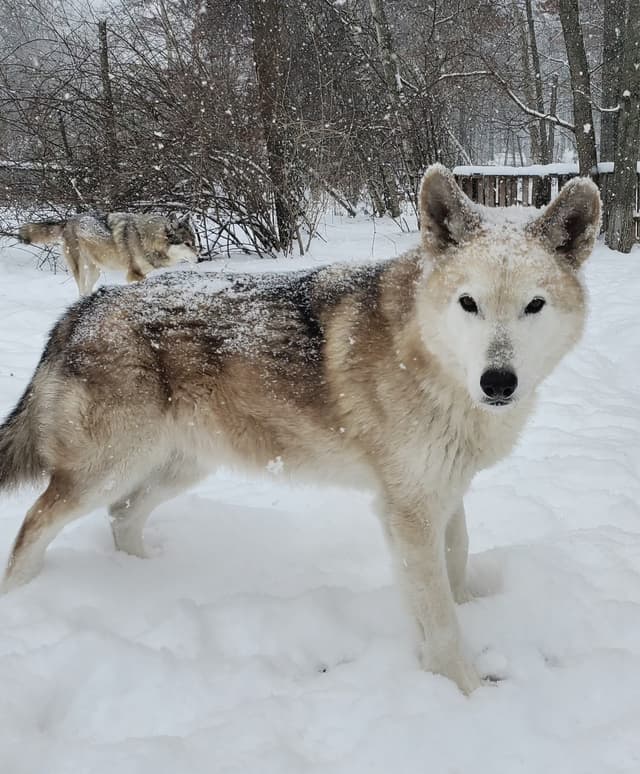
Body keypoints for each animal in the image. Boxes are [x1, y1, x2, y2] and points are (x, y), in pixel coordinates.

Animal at [19, 211, 198, 296]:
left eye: (195, 242)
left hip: (95, 272)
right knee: (81, 291)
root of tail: (68, 220)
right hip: (81, 269)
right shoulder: (133, 274)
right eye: (187, 244)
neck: (146, 239)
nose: (200, 257)